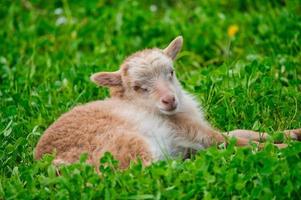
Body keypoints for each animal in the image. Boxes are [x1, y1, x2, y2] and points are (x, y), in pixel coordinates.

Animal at [35, 36, 300, 169]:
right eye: (138, 88)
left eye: (171, 72)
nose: (169, 100)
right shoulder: (191, 131)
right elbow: (240, 141)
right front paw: (285, 148)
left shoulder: (196, 130)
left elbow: (245, 132)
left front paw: (294, 133)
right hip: (129, 146)